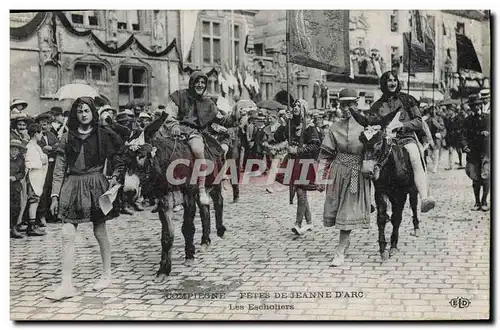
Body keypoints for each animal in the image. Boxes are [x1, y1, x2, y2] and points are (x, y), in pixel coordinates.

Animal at [360, 124, 422, 260]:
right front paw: (383, 249)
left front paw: (393, 246)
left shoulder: (401, 194)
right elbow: (381, 218)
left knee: (414, 206)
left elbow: (397, 218)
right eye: (361, 142)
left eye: (379, 144)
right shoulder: (380, 192)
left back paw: (416, 228)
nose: (367, 171)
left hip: (413, 189)